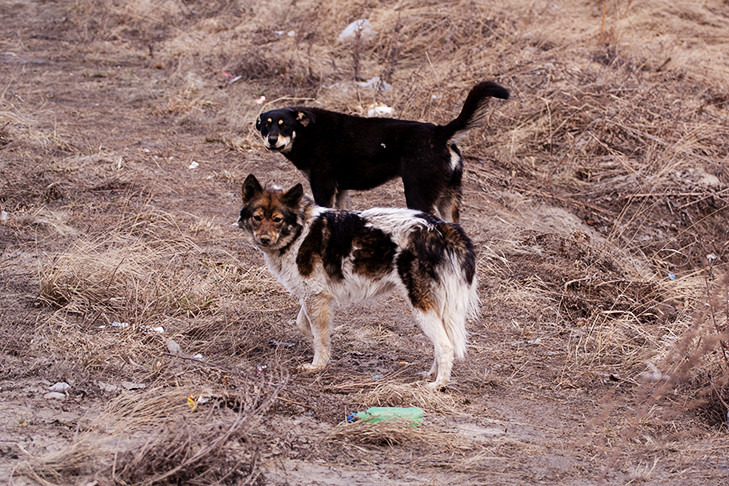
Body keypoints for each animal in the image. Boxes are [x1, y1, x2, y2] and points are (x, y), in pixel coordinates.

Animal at [236, 173, 480, 390]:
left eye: (277, 220)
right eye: (257, 218)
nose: (264, 239)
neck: (299, 232)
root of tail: (445, 229)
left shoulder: (315, 298)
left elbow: (319, 337)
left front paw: (318, 365)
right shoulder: (313, 296)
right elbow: (306, 327)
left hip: (421, 309)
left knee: (445, 346)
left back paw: (438, 384)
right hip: (437, 310)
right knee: (442, 344)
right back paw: (431, 374)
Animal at [255, 81, 506, 222]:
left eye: (284, 125)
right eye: (266, 125)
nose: (272, 140)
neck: (308, 133)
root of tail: (440, 132)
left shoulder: (323, 187)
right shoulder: (341, 189)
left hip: (418, 193)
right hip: (449, 198)